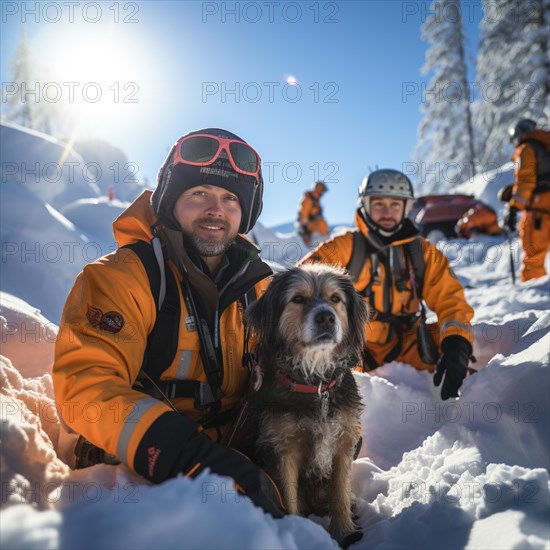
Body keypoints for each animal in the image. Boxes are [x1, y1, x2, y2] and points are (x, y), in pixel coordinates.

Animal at [245, 266, 366, 544]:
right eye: (298, 299)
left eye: (335, 299)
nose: (326, 318)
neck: (315, 384)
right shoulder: (282, 448)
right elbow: (288, 499)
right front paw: (298, 533)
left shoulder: (344, 440)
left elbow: (340, 493)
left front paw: (344, 532)